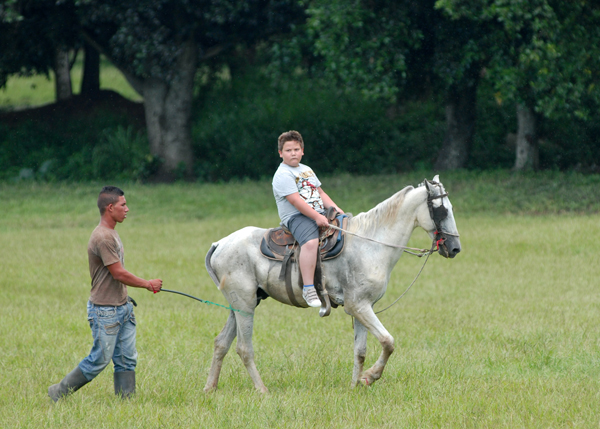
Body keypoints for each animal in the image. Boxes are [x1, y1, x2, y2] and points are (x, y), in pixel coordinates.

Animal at [204, 174, 462, 392]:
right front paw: (370, 377)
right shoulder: (359, 306)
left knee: (221, 343)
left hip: (241, 305)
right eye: (441, 211)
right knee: (243, 348)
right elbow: (388, 341)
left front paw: (355, 386)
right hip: (245, 305)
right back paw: (262, 390)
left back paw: (210, 388)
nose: (455, 248)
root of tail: (220, 244)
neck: (370, 243)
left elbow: (360, 350)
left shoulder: (363, 308)